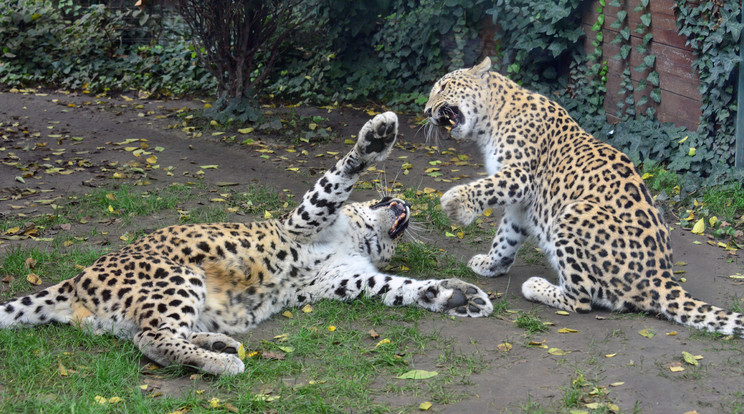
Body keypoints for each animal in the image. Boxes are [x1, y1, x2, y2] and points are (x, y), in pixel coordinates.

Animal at [2, 112, 496, 376]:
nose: (404, 200)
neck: (362, 239)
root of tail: (74, 280)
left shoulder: (346, 279)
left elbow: (400, 287)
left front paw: (457, 296)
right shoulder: (302, 221)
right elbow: (338, 179)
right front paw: (376, 138)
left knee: (153, 334)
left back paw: (220, 348)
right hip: (177, 275)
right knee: (152, 338)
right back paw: (223, 363)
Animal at [424, 57, 744, 336]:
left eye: (444, 87)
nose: (426, 111)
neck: (491, 121)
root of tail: (662, 277)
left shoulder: (521, 177)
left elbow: (486, 188)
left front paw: (456, 204)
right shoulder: (521, 203)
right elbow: (506, 236)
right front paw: (493, 264)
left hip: (574, 212)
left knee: (582, 299)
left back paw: (536, 287)